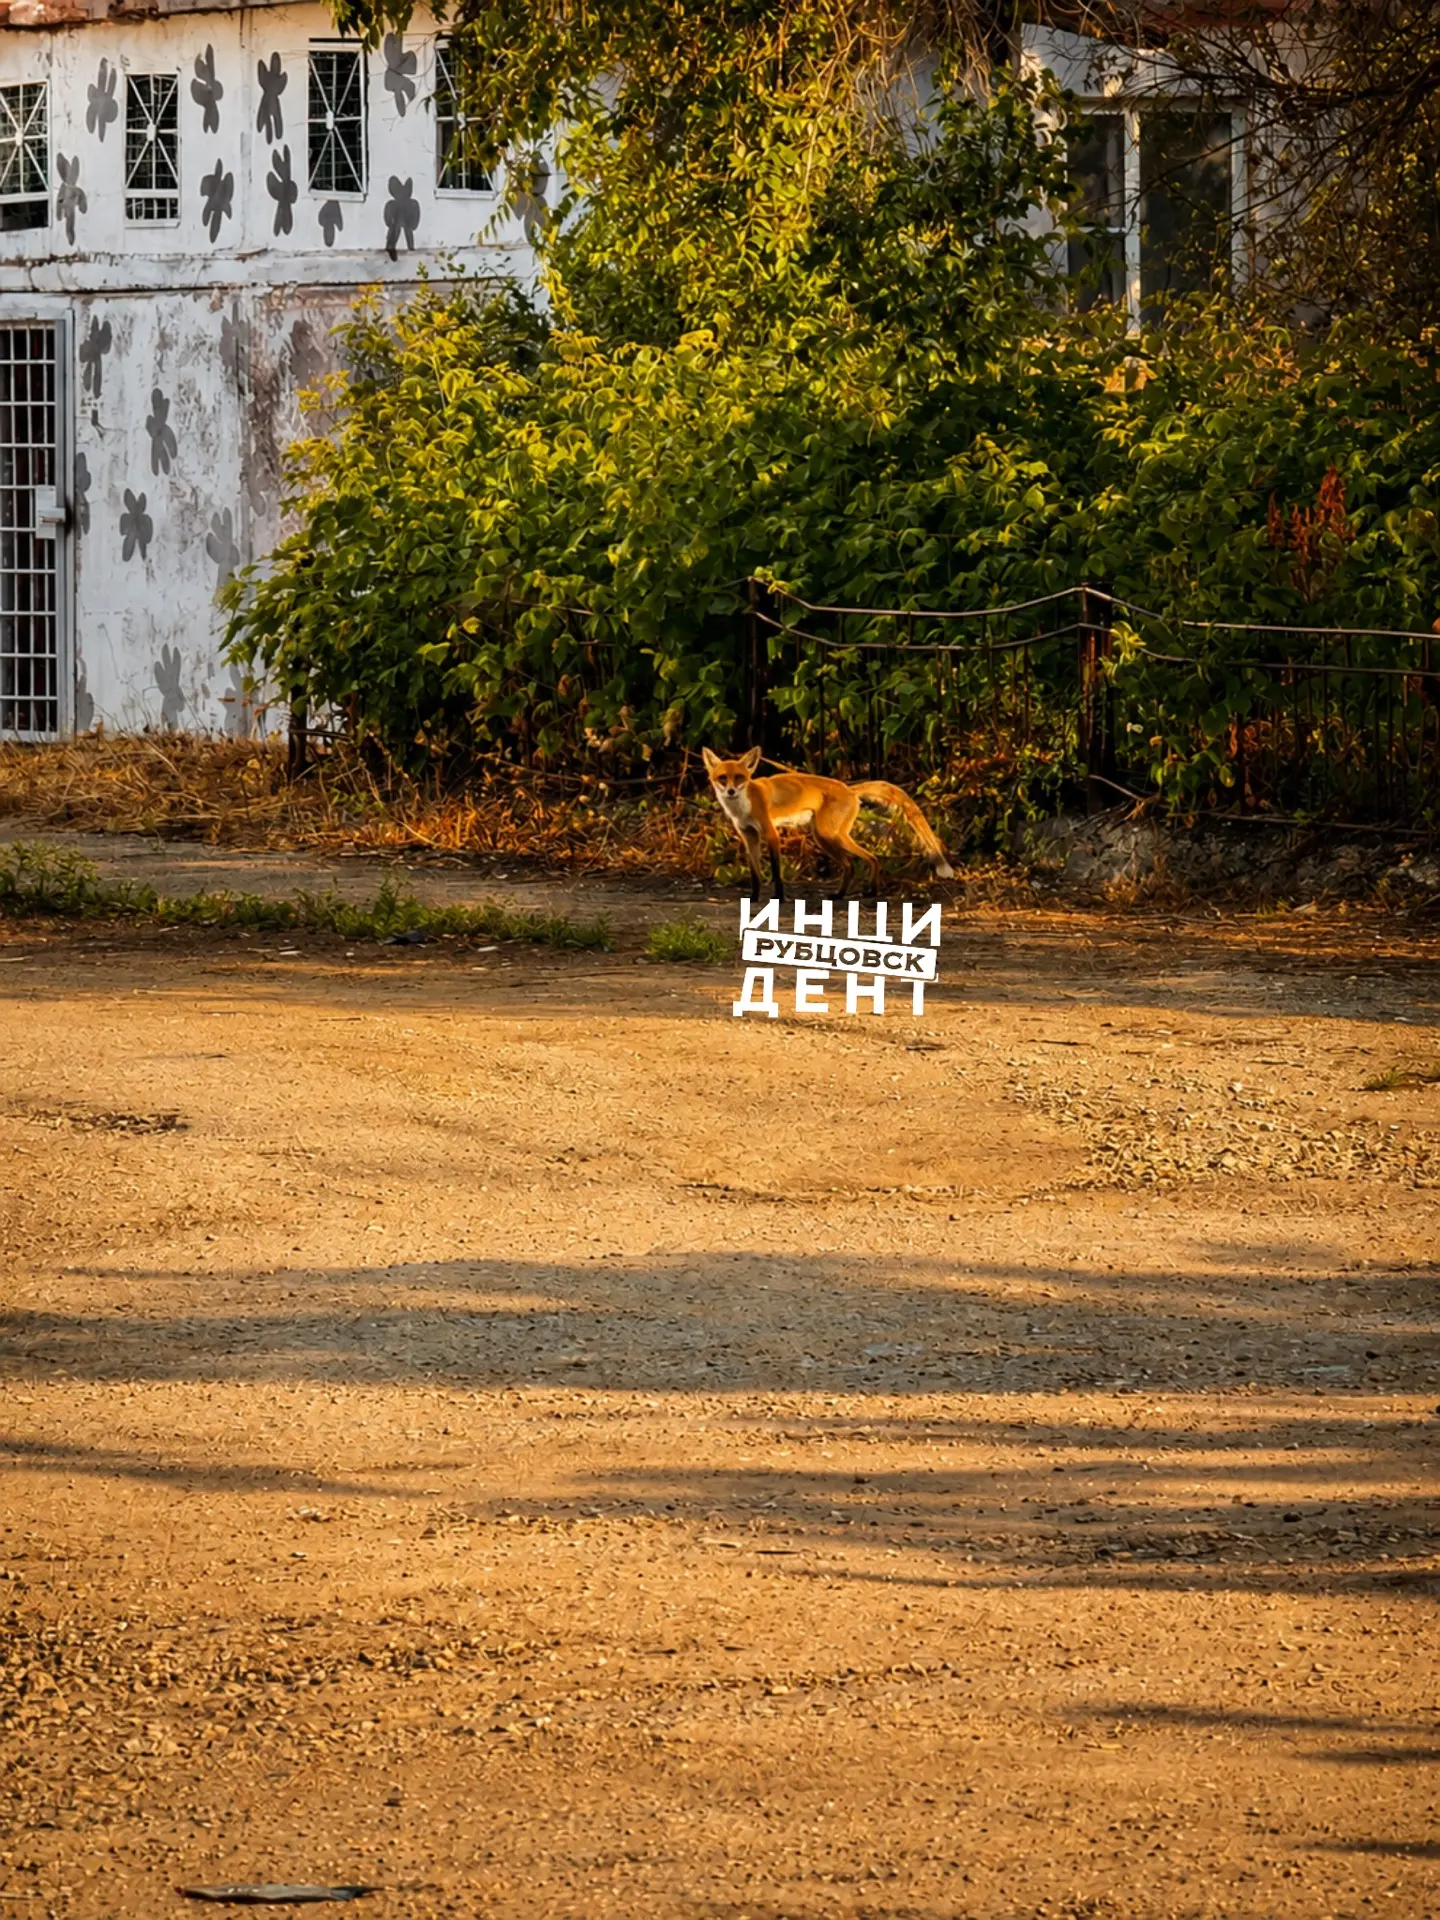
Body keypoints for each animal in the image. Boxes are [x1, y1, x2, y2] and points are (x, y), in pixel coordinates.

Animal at [702, 746, 954, 902]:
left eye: (739, 778)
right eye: (723, 778)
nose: (731, 791)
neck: (742, 807)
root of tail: (849, 789)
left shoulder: (771, 834)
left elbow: (775, 871)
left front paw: (779, 898)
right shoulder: (749, 837)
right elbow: (755, 873)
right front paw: (754, 899)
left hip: (830, 835)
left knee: (872, 858)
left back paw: (872, 891)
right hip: (823, 838)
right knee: (850, 865)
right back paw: (840, 895)